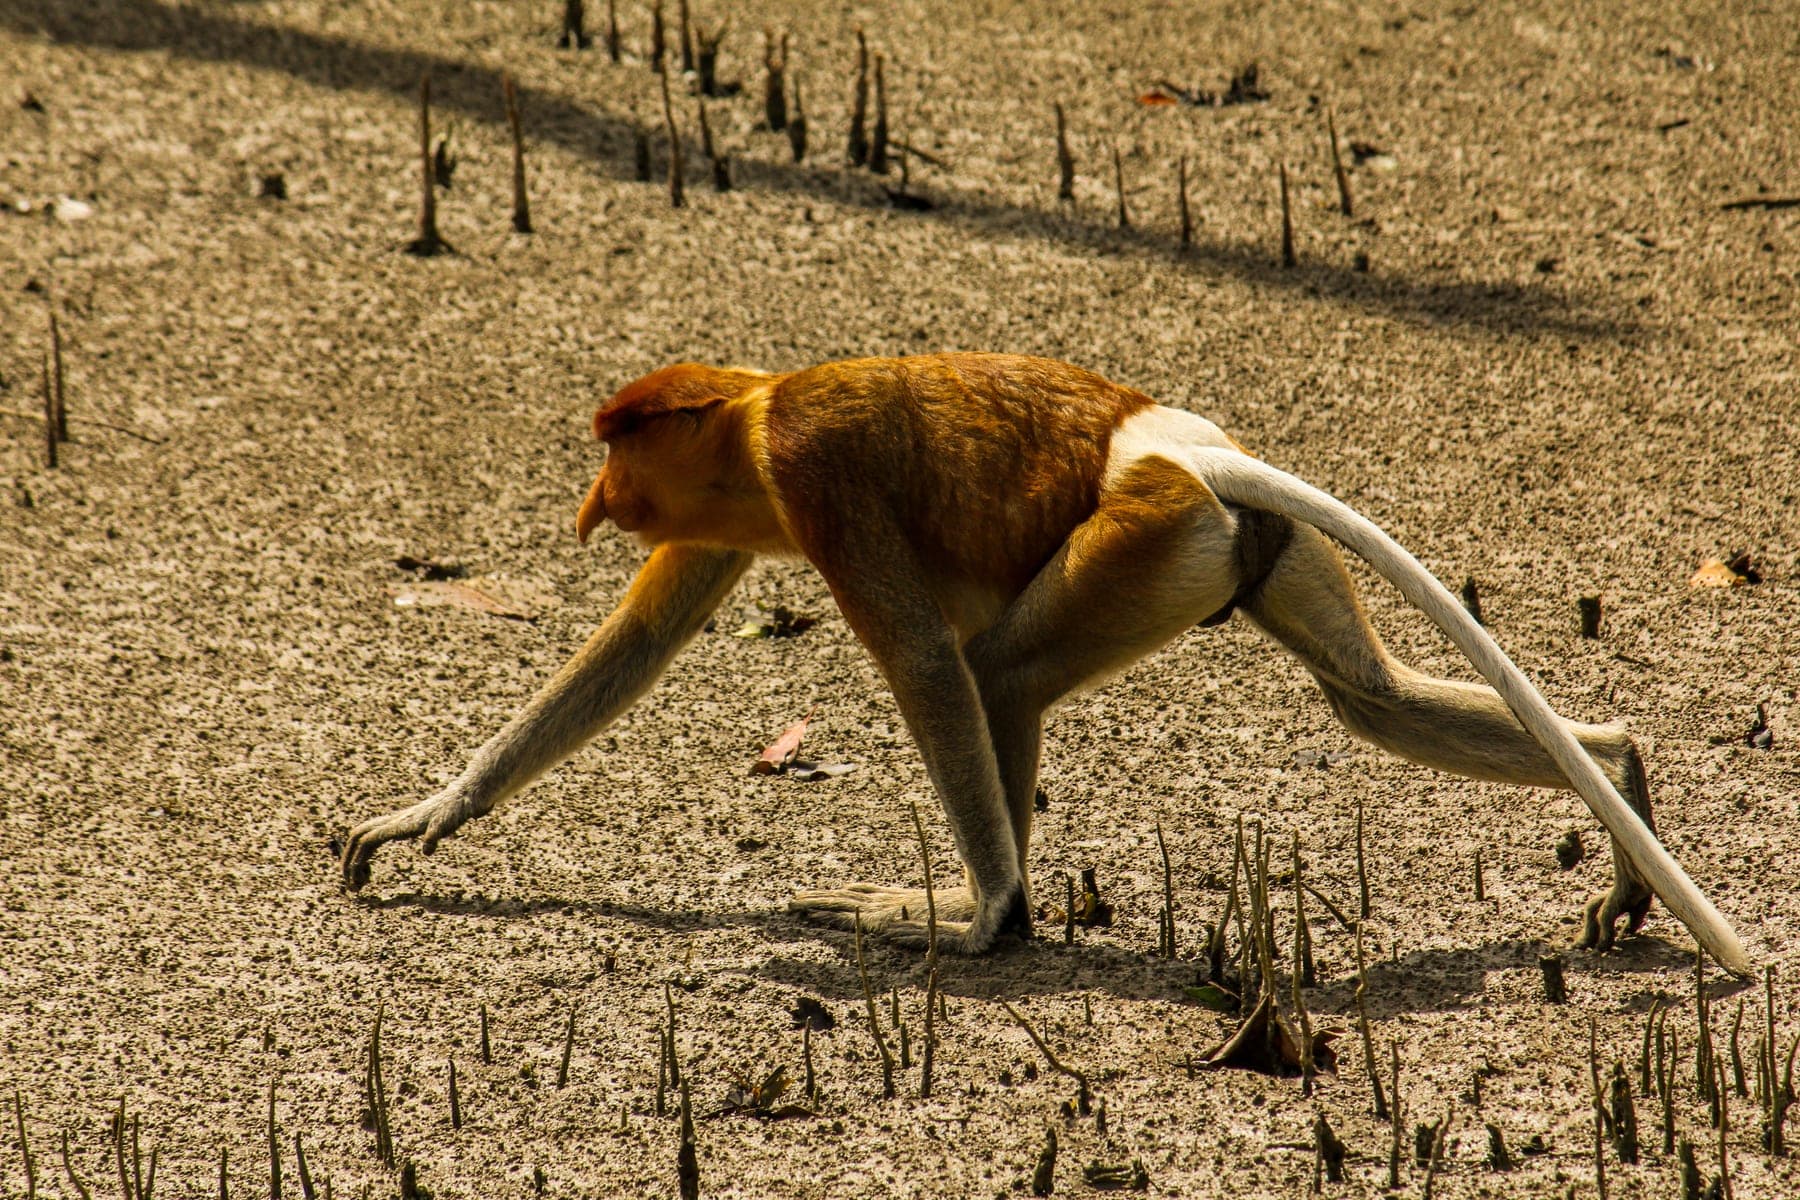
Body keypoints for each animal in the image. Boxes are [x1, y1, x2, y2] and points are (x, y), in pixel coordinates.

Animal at [340, 353, 1749, 975]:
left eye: (618, 444)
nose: (594, 501)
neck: (750, 408)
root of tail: (1180, 451)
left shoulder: (815, 479)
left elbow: (921, 656)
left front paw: (966, 919)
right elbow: (633, 647)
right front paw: (426, 818)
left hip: (1138, 547)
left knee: (997, 675)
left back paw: (988, 917)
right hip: (1245, 551)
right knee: (1373, 699)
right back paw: (1622, 779)